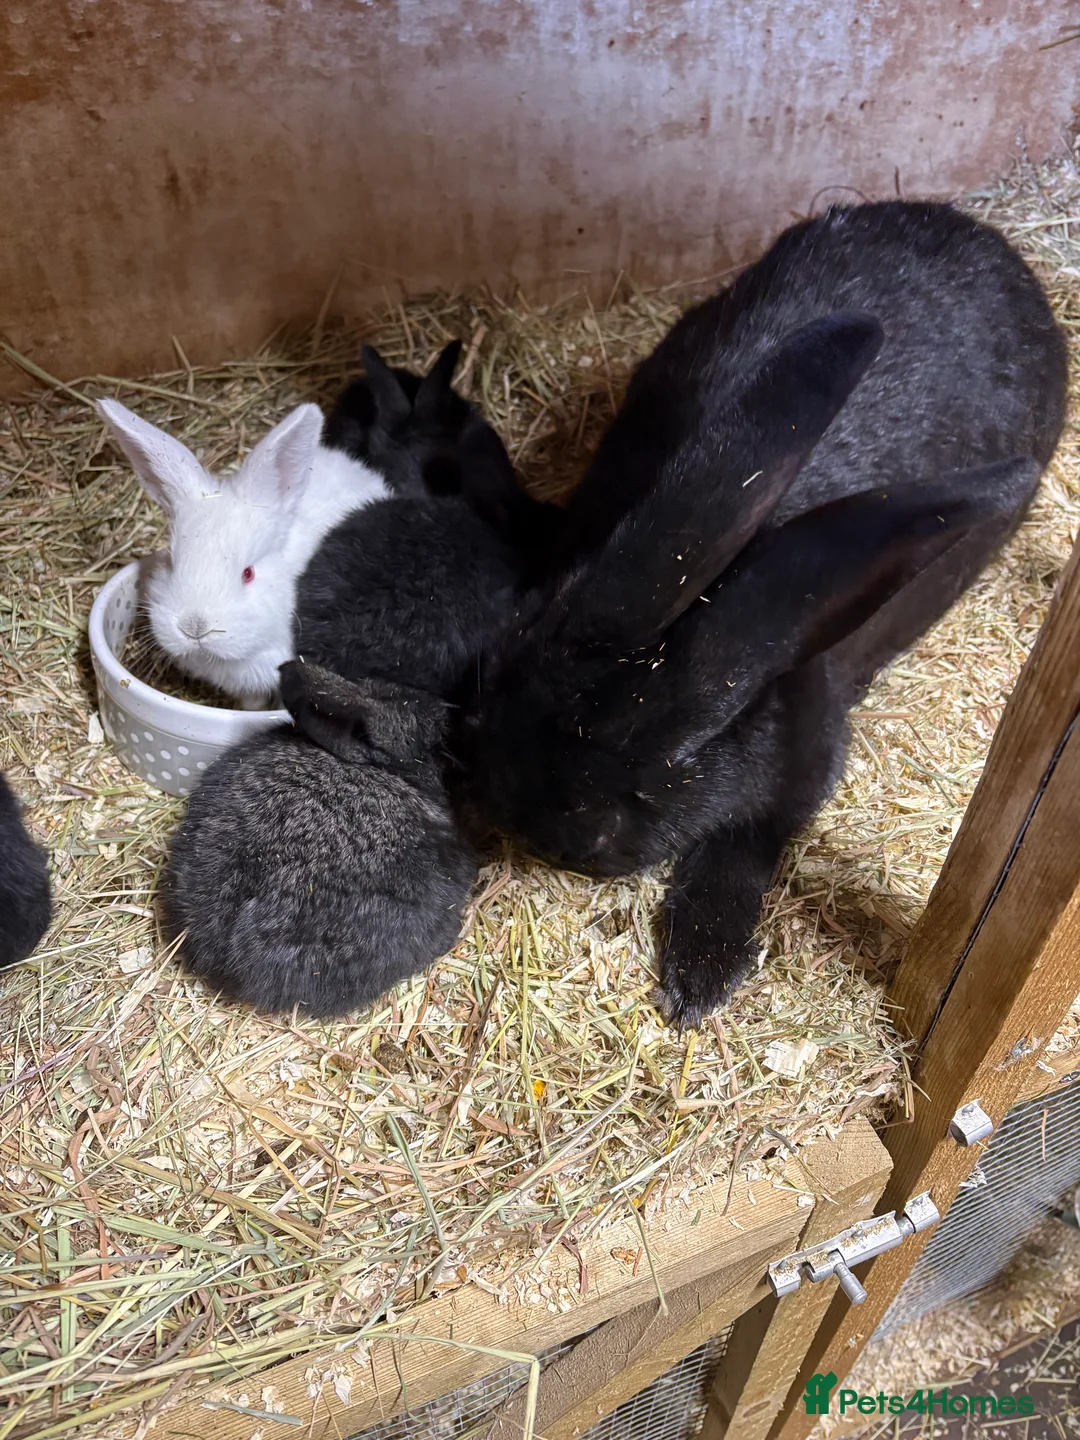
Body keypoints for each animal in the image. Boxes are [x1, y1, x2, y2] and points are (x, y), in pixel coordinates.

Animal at [458, 200, 1068, 1027]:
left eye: (678, 758)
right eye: (530, 629)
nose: (531, 818)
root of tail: (993, 244)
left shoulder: (796, 782)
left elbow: (745, 847)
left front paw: (700, 978)